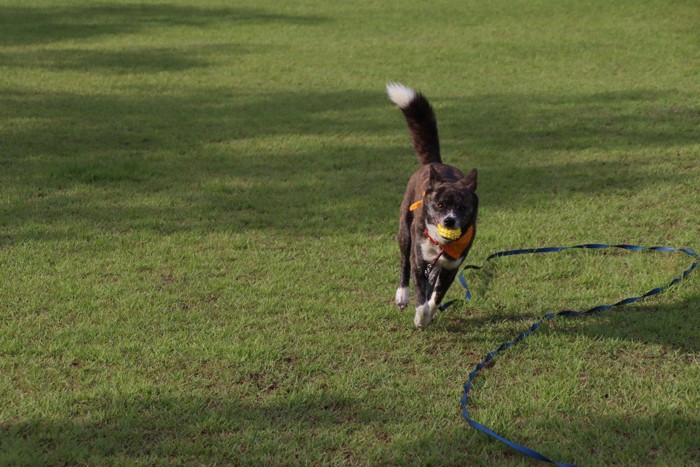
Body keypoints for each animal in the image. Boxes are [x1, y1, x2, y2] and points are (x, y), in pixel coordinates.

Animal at [386, 83, 478, 330]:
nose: (449, 220)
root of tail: (434, 163)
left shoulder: (451, 267)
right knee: (404, 263)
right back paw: (402, 295)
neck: (441, 243)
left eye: (462, 208)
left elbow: (436, 296)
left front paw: (430, 312)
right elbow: (420, 293)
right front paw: (420, 317)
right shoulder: (419, 260)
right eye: (440, 205)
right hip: (404, 230)